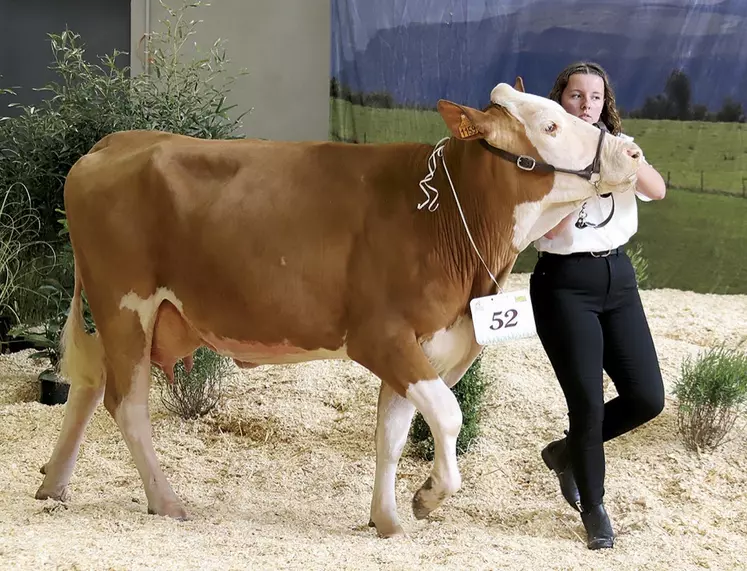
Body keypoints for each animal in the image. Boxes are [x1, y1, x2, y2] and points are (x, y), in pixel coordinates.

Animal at [35, 79, 644, 536]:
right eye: (550, 126)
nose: (633, 152)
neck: (446, 218)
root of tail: (112, 143)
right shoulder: (381, 335)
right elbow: (447, 414)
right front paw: (427, 498)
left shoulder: (426, 342)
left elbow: (392, 433)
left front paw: (387, 519)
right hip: (125, 305)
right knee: (126, 404)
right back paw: (165, 502)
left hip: (116, 311)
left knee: (90, 386)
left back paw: (54, 484)